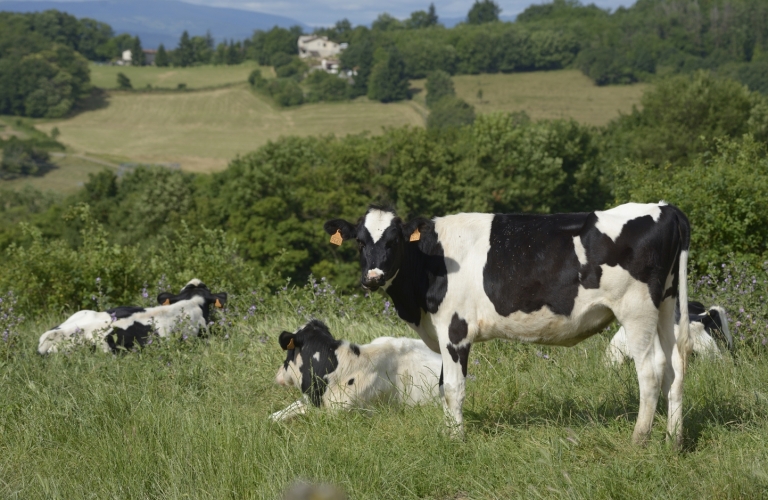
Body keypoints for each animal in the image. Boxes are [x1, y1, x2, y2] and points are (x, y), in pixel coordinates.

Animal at [320, 201, 692, 448]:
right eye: (360, 242)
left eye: (394, 240)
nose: (372, 277)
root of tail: (664, 207)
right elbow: (442, 388)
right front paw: (448, 433)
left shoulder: (455, 331)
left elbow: (453, 388)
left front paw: (456, 440)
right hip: (667, 304)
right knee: (675, 367)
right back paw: (673, 439)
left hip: (637, 309)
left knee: (650, 371)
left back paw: (639, 439)